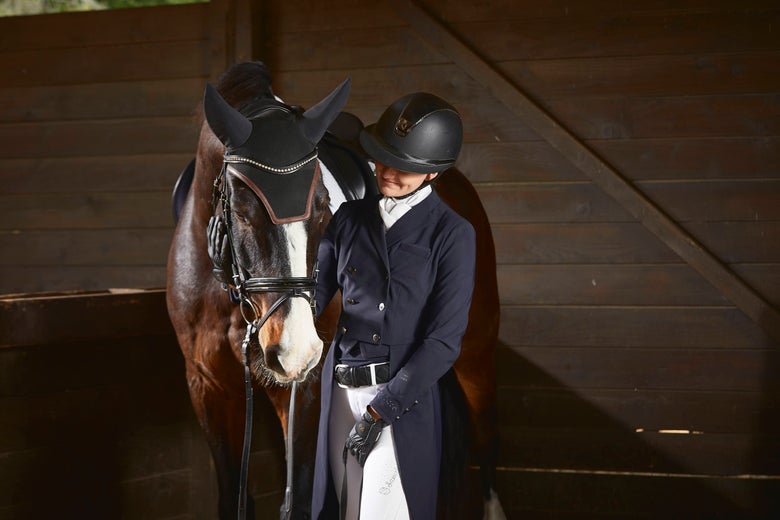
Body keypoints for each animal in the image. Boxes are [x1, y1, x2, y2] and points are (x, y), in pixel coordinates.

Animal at [166, 61, 504, 520]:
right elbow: (233, 496)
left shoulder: (303, 392)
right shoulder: (208, 388)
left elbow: (300, 498)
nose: (296, 351)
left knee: (485, 434)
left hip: (475, 353)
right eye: (242, 211)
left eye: (324, 206)